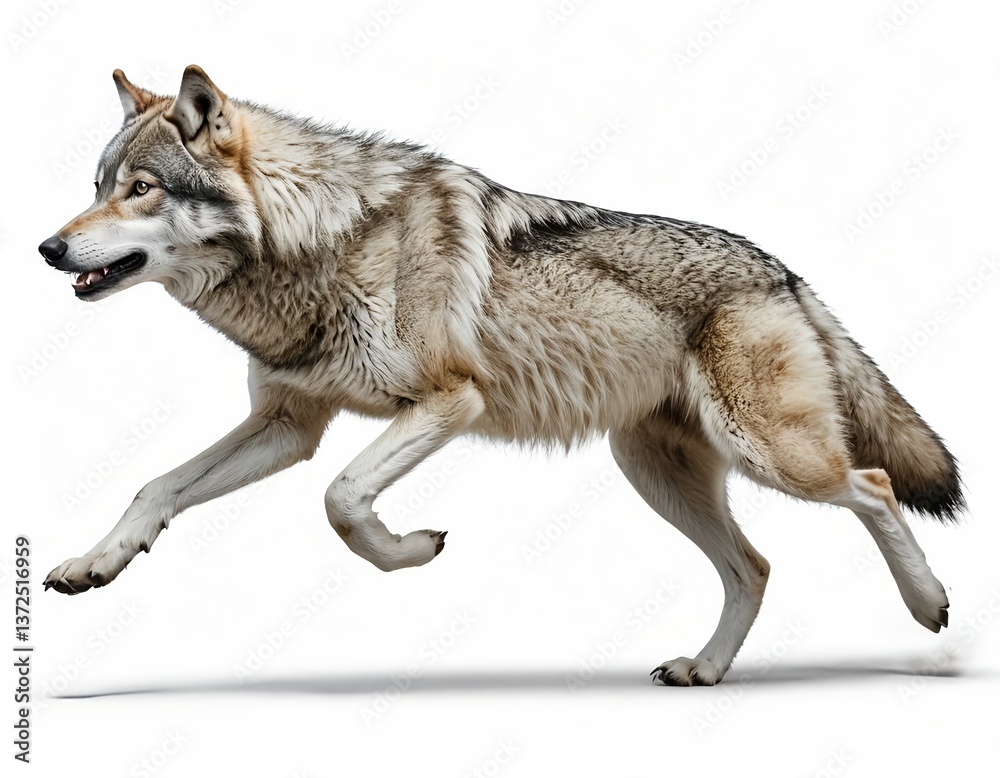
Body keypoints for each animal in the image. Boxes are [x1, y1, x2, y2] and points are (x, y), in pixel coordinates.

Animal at [39, 66, 963, 686]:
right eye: (97, 186)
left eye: (141, 189)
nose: (47, 247)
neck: (321, 239)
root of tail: (785, 271)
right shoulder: (289, 427)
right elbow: (156, 487)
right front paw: (94, 564)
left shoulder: (447, 400)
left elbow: (342, 500)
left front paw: (411, 550)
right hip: (657, 473)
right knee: (757, 566)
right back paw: (705, 669)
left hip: (769, 455)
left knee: (874, 485)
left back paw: (928, 606)